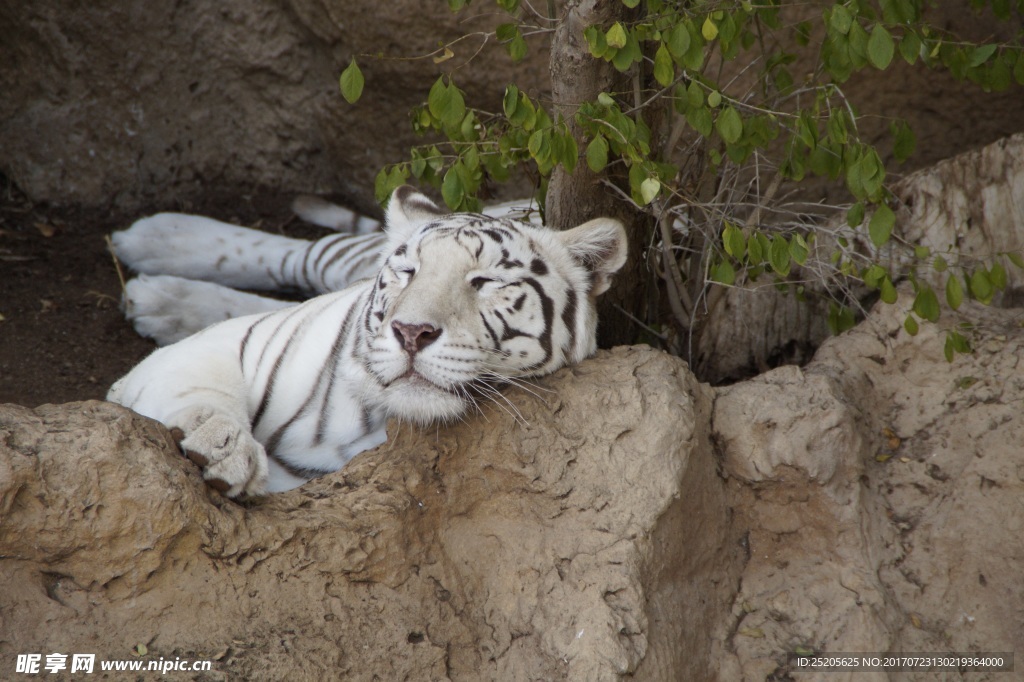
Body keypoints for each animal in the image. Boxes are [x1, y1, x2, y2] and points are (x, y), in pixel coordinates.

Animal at [108, 186, 626, 493]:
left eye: (485, 282)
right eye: (409, 271)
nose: (412, 332)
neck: (371, 419)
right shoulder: (218, 348)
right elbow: (201, 394)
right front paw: (224, 449)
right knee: (308, 253)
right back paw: (158, 241)